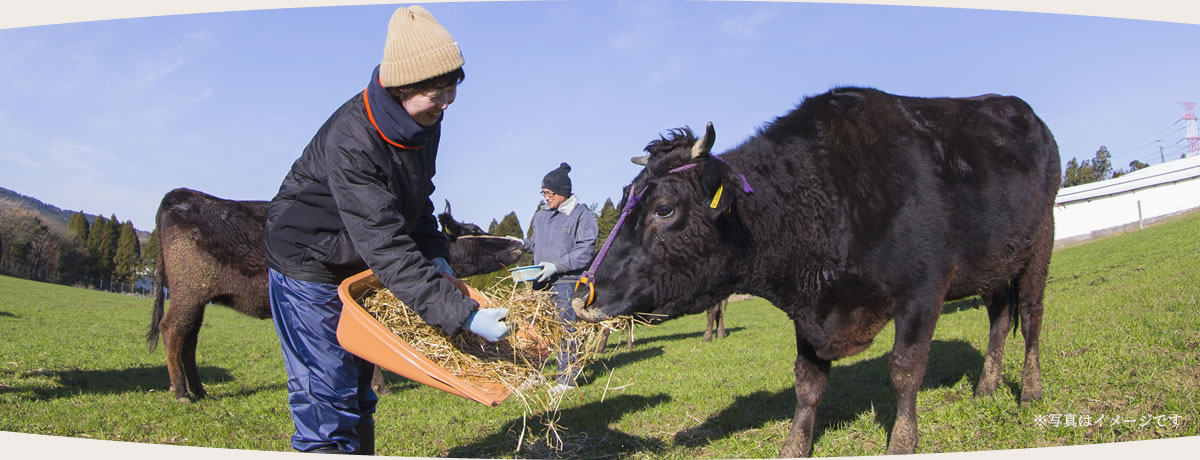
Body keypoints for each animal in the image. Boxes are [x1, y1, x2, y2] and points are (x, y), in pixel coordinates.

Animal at [145, 187, 520, 403]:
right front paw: (380, 386)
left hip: (198, 297)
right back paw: (181, 393)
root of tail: (180, 194)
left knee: (189, 339)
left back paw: (198, 389)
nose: (518, 242)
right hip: (189, 291)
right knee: (173, 331)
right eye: (475, 230)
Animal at [573, 87, 1060, 456]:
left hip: (1039, 243)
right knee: (999, 318)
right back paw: (986, 387)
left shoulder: (924, 290)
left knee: (1032, 317)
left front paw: (902, 442)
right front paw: (794, 446)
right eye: (626, 196)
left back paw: (1030, 391)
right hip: (994, 264)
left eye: (664, 209)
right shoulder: (808, 308)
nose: (583, 295)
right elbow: (808, 384)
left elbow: (905, 369)